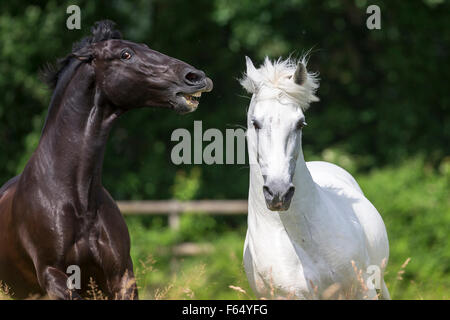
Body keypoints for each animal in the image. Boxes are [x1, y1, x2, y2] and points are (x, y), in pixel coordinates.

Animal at [0, 20, 213, 300]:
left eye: (145, 46)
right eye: (125, 54)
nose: (195, 77)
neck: (78, 200)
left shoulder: (121, 276)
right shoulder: (50, 274)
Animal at [241, 56, 388, 298]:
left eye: (300, 123)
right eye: (255, 123)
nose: (279, 193)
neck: (299, 238)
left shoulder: (362, 288)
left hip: (379, 282)